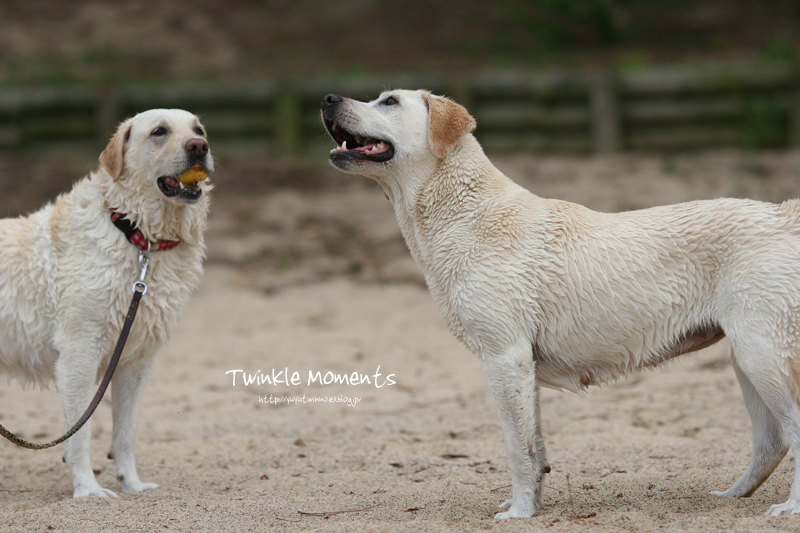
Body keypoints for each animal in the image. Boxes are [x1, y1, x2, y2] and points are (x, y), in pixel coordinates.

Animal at [0, 109, 212, 498]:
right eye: (159, 132)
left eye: (199, 131)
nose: (198, 147)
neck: (137, 236)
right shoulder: (79, 355)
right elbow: (79, 435)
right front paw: (88, 490)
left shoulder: (135, 361)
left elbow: (125, 433)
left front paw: (133, 484)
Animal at [322, 90, 800, 516]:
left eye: (390, 102)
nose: (327, 99)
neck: (464, 214)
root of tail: (784, 215)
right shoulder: (524, 366)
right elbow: (534, 448)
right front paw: (532, 505)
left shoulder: (504, 357)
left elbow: (515, 449)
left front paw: (518, 514)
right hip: (745, 359)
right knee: (771, 441)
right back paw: (732, 496)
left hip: (760, 355)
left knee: (793, 429)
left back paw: (788, 508)